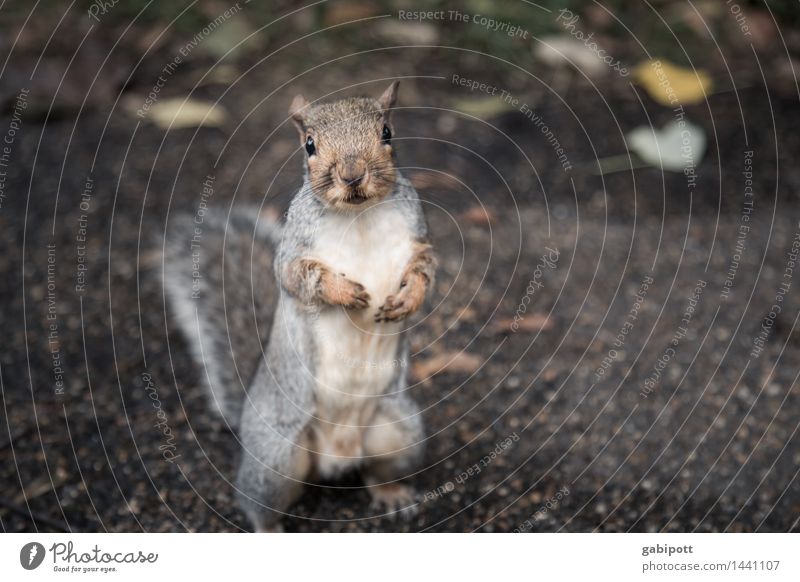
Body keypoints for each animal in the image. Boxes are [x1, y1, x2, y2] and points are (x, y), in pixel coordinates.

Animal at [163, 82, 438, 532]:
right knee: (256, 503)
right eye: (309, 145)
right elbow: (297, 277)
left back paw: (393, 494)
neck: (358, 214)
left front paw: (407, 299)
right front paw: (345, 293)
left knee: (377, 472)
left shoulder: (418, 238)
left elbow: (426, 269)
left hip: (399, 432)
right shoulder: (292, 253)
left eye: (387, 132)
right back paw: (270, 528)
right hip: (276, 457)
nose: (352, 174)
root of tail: (336, 457)